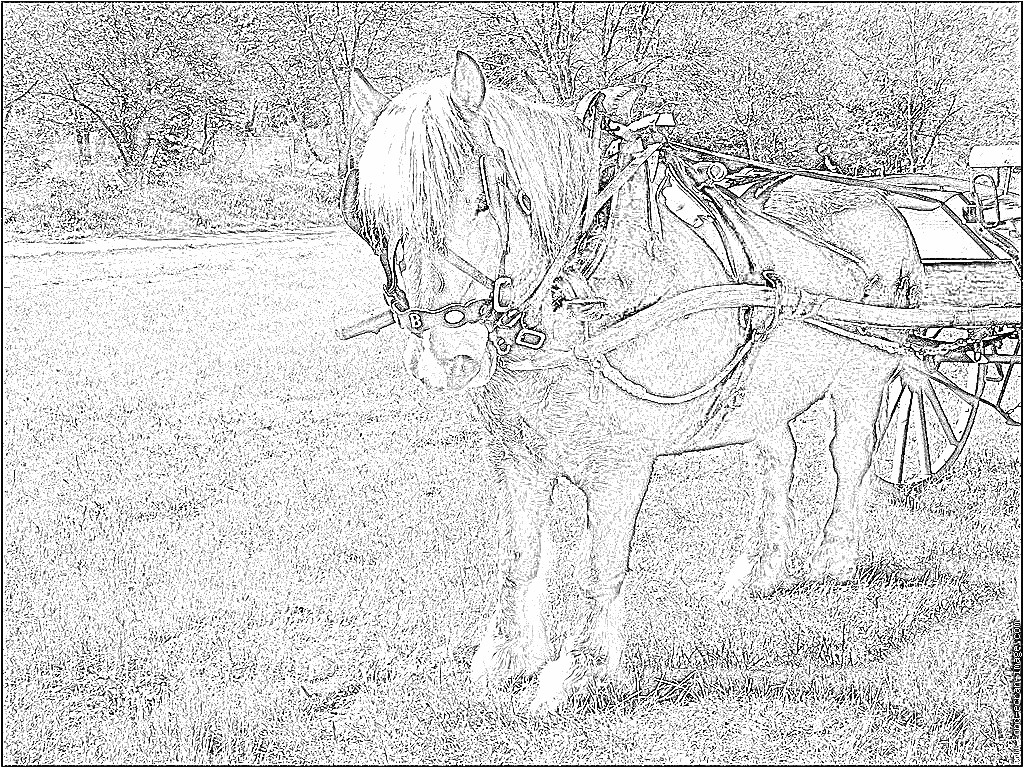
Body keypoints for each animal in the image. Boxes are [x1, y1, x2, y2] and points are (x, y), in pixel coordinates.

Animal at [343, 51, 922, 713]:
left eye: (478, 199)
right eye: (373, 218)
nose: (447, 356)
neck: (578, 301)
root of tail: (883, 208)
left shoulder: (620, 469)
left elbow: (602, 564)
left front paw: (583, 670)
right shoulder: (518, 457)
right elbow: (522, 555)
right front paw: (510, 658)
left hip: (861, 386)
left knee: (848, 462)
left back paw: (836, 559)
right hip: (766, 402)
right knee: (777, 464)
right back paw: (758, 572)